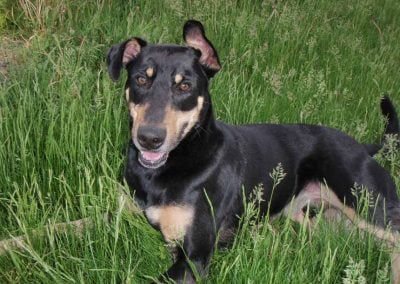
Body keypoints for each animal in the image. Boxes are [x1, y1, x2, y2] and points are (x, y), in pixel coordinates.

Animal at [104, 20, 398, 282]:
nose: (149, 139)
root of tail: (362, 147)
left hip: (367, 204)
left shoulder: (194, 257)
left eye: (185, 86)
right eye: (141, 79)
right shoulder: (122, 214)